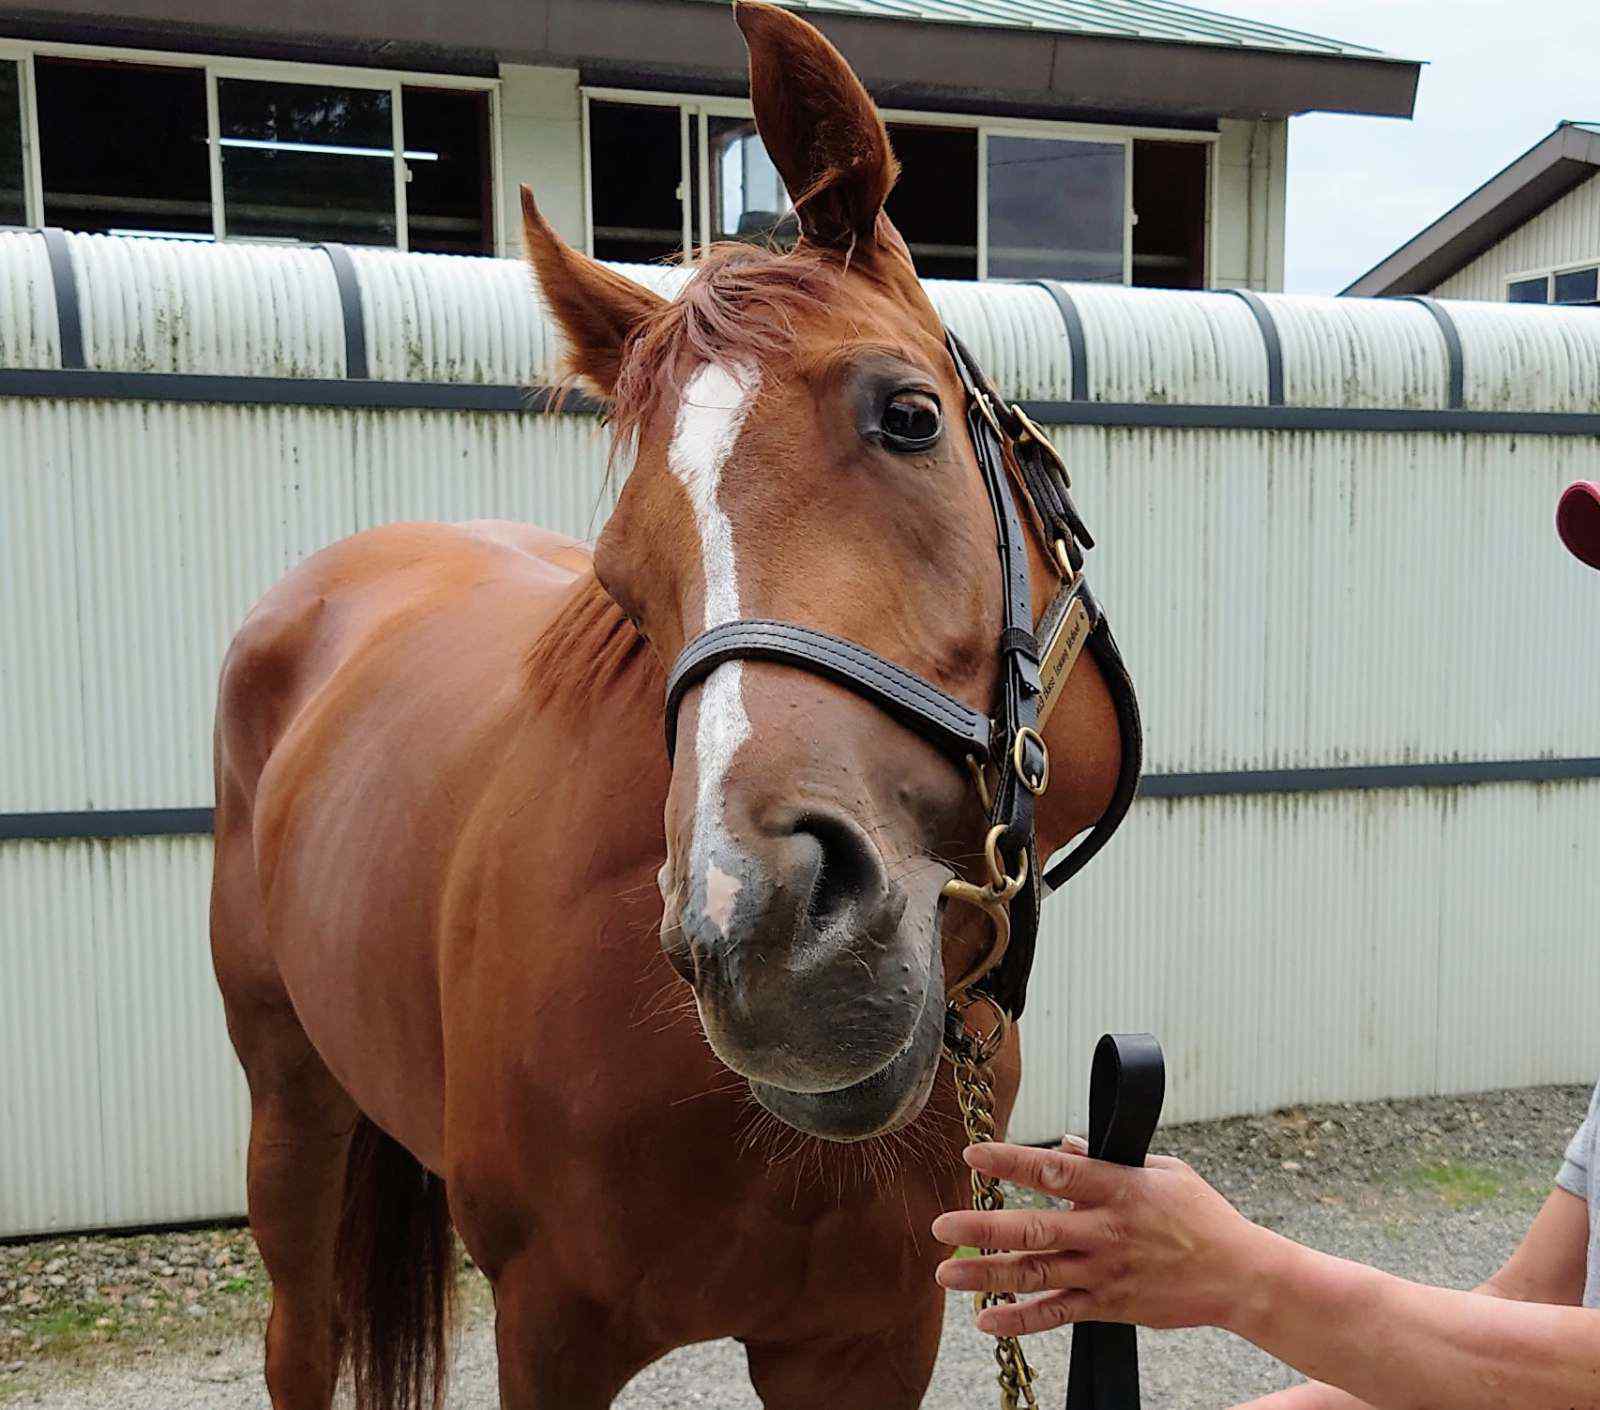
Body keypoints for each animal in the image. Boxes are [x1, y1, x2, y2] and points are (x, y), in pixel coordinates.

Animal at [212, 5, 1132, 1401]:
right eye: (619, 572)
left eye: (911, 416)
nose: (758, 932)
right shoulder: (548, 1330)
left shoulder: (869, 1335)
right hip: (291, 1101)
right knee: (299, 1339)